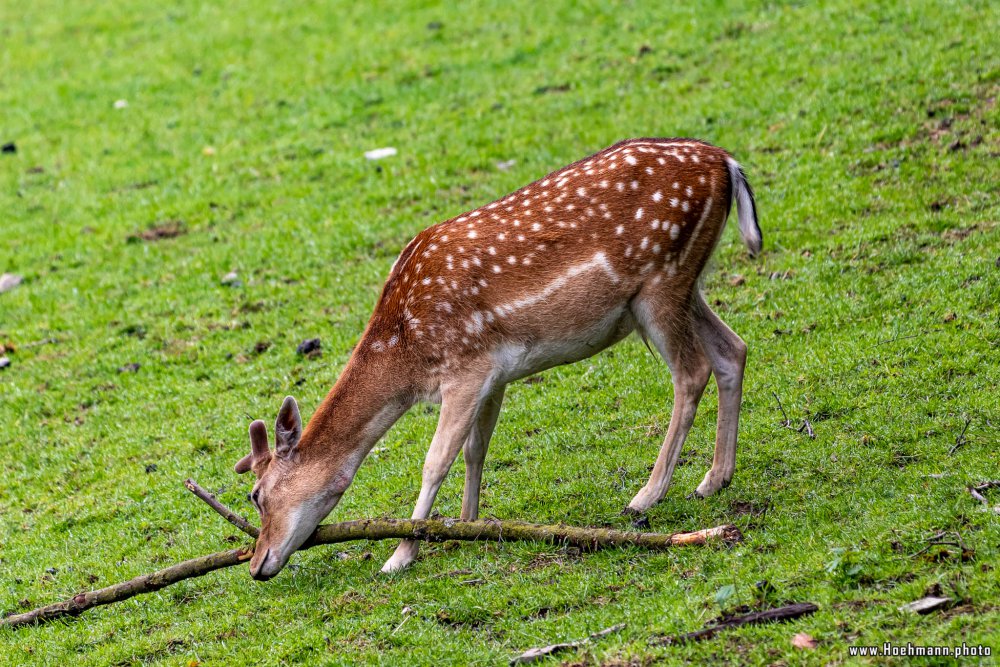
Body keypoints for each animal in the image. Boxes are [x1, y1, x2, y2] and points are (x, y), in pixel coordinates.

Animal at [236, 140, 764, 580]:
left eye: (255, 496)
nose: (258, 563)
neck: (407, 354)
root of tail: (727, 162)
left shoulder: (466, 367)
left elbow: (435, 460)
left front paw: (402, 554)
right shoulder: (495, 372)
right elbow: (476, 448)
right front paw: (465, 525)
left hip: (660, 281)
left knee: (692, 372)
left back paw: (646, 496)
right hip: (683, 284)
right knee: (732, 349)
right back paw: (714, 479)